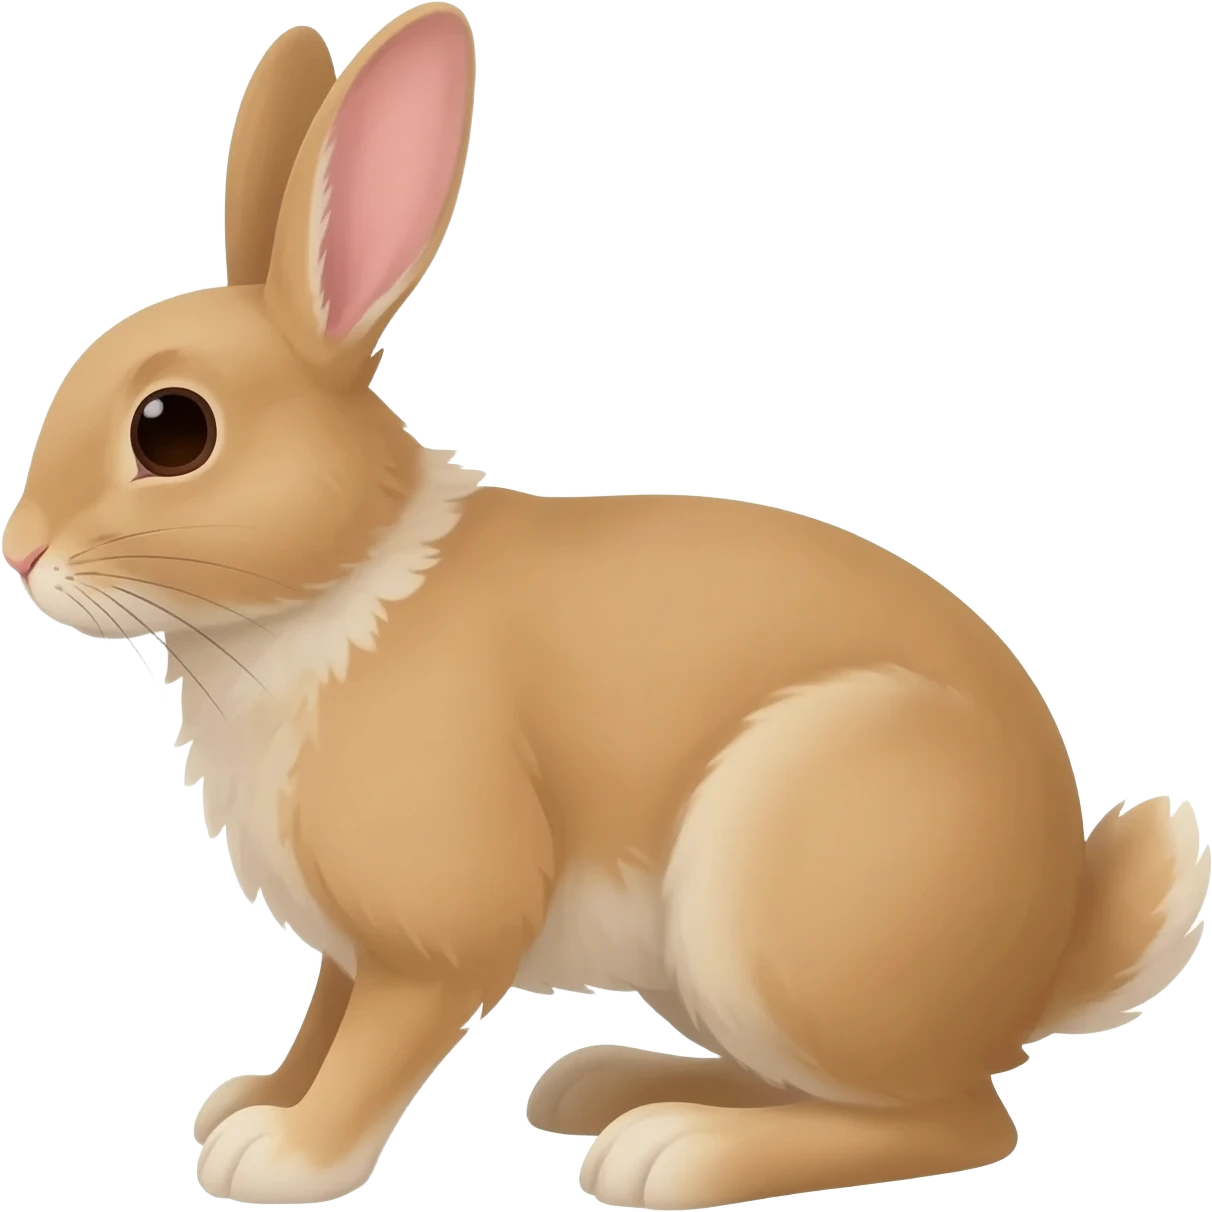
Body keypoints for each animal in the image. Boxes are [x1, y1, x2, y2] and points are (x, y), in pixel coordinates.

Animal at [3, 4, 1208, 1208]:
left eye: (172, 430)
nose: (20, 553)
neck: (334, 580)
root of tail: (1042, 960)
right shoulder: (347, 944)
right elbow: (325, 1022)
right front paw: (249, 1101)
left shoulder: (436, 930)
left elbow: (377, 1043)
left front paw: (283, 1156)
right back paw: (609, 1088)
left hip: (778, 901)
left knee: (957, 1121)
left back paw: (671, 1153)